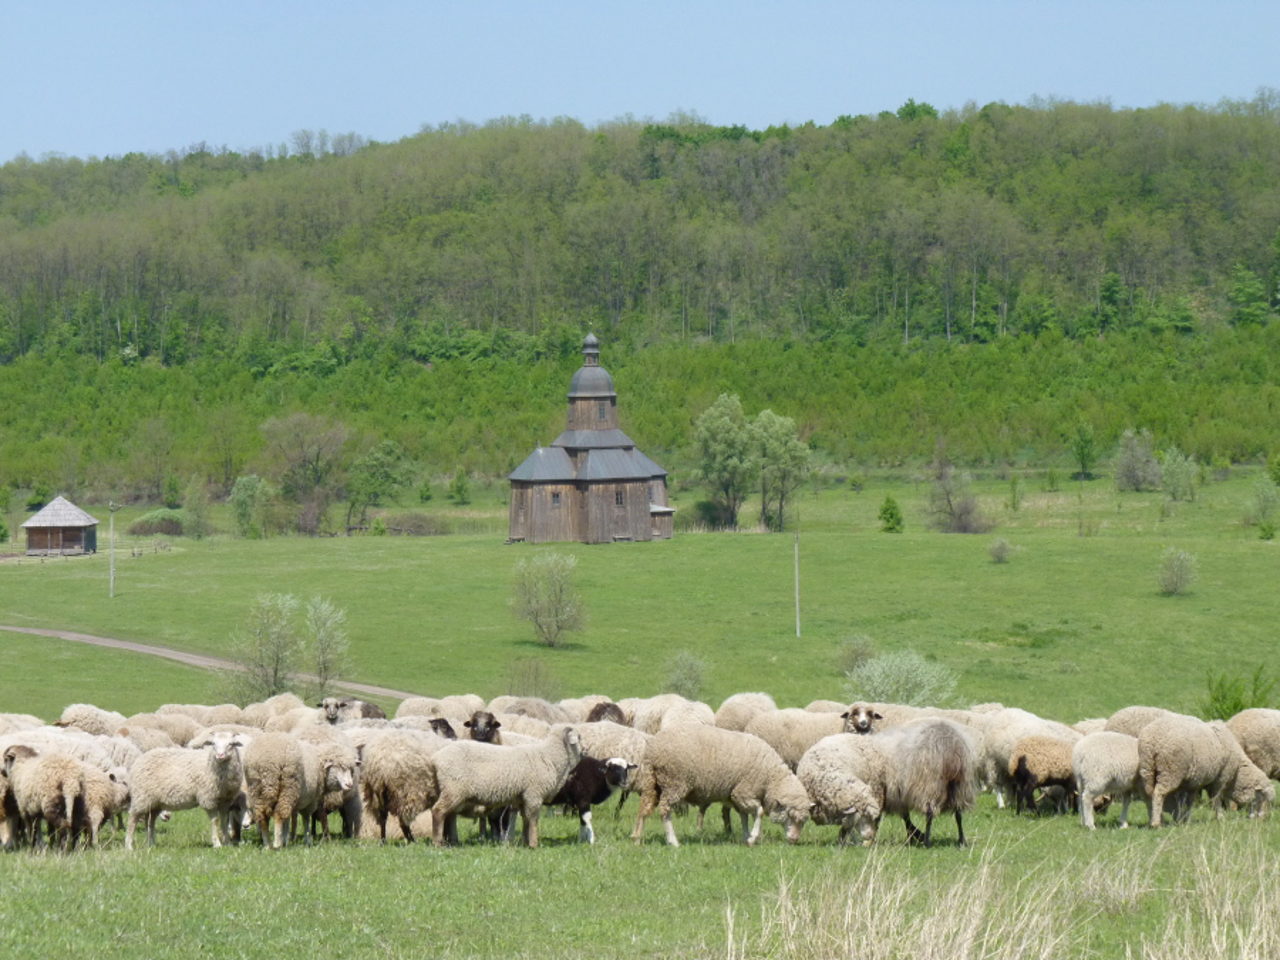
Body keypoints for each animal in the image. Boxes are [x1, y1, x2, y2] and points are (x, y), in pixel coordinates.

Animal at [432, 721, 586, 849]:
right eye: (579, 737)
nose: (585, 750)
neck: (550, 756)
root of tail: (437, 758)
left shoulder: (524, 797)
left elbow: (525, 820)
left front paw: (525, 842)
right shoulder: (534, 794)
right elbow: (533, 820)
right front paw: (534, 844)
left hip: (451, 790)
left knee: (449, 815)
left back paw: (452, 841)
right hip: (453, 788)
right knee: (438, 811)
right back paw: (437, 843)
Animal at [629, 721, 808, 849]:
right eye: (792, 815)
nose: (794, 840)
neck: (770, 777)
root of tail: (654, 749)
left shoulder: (737, 796)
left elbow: (744, 816)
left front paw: (746, 837)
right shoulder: (744, 792)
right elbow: (760, 812)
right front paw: (752, 837)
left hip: (653, 783)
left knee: (643, 808)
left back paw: (637, 838)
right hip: (675, 782)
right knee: (664, 811)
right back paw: (673, 841)